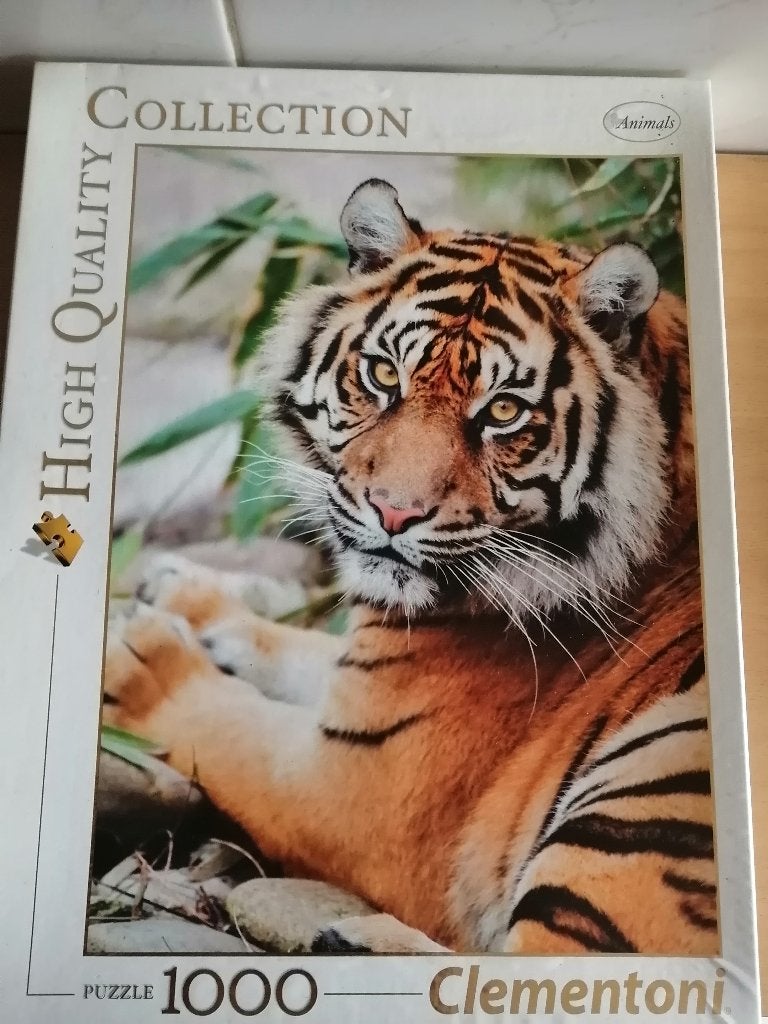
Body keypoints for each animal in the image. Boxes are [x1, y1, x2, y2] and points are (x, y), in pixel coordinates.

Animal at [104, 178, 716, 956]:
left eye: (504, 412)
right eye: (382, 374)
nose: (394, 513)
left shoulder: (354, 788)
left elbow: (227, 727)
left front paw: (139, 661)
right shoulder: (366, 691)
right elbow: (303, 652)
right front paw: (187, 596)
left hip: (644, 801)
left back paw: (357, 938)